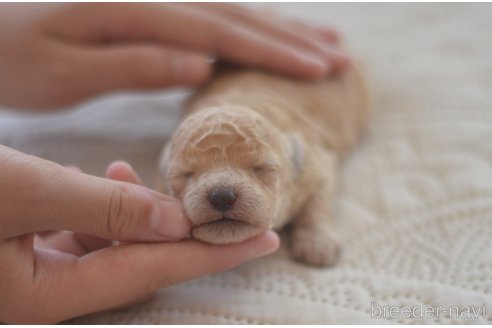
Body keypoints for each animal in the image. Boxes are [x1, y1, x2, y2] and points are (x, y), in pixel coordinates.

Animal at [158, 64, 368, 266]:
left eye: (260, 168)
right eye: (186, 174)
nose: (222, 197)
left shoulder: (316, 164)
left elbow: (318, 201)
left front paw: (317, 244)